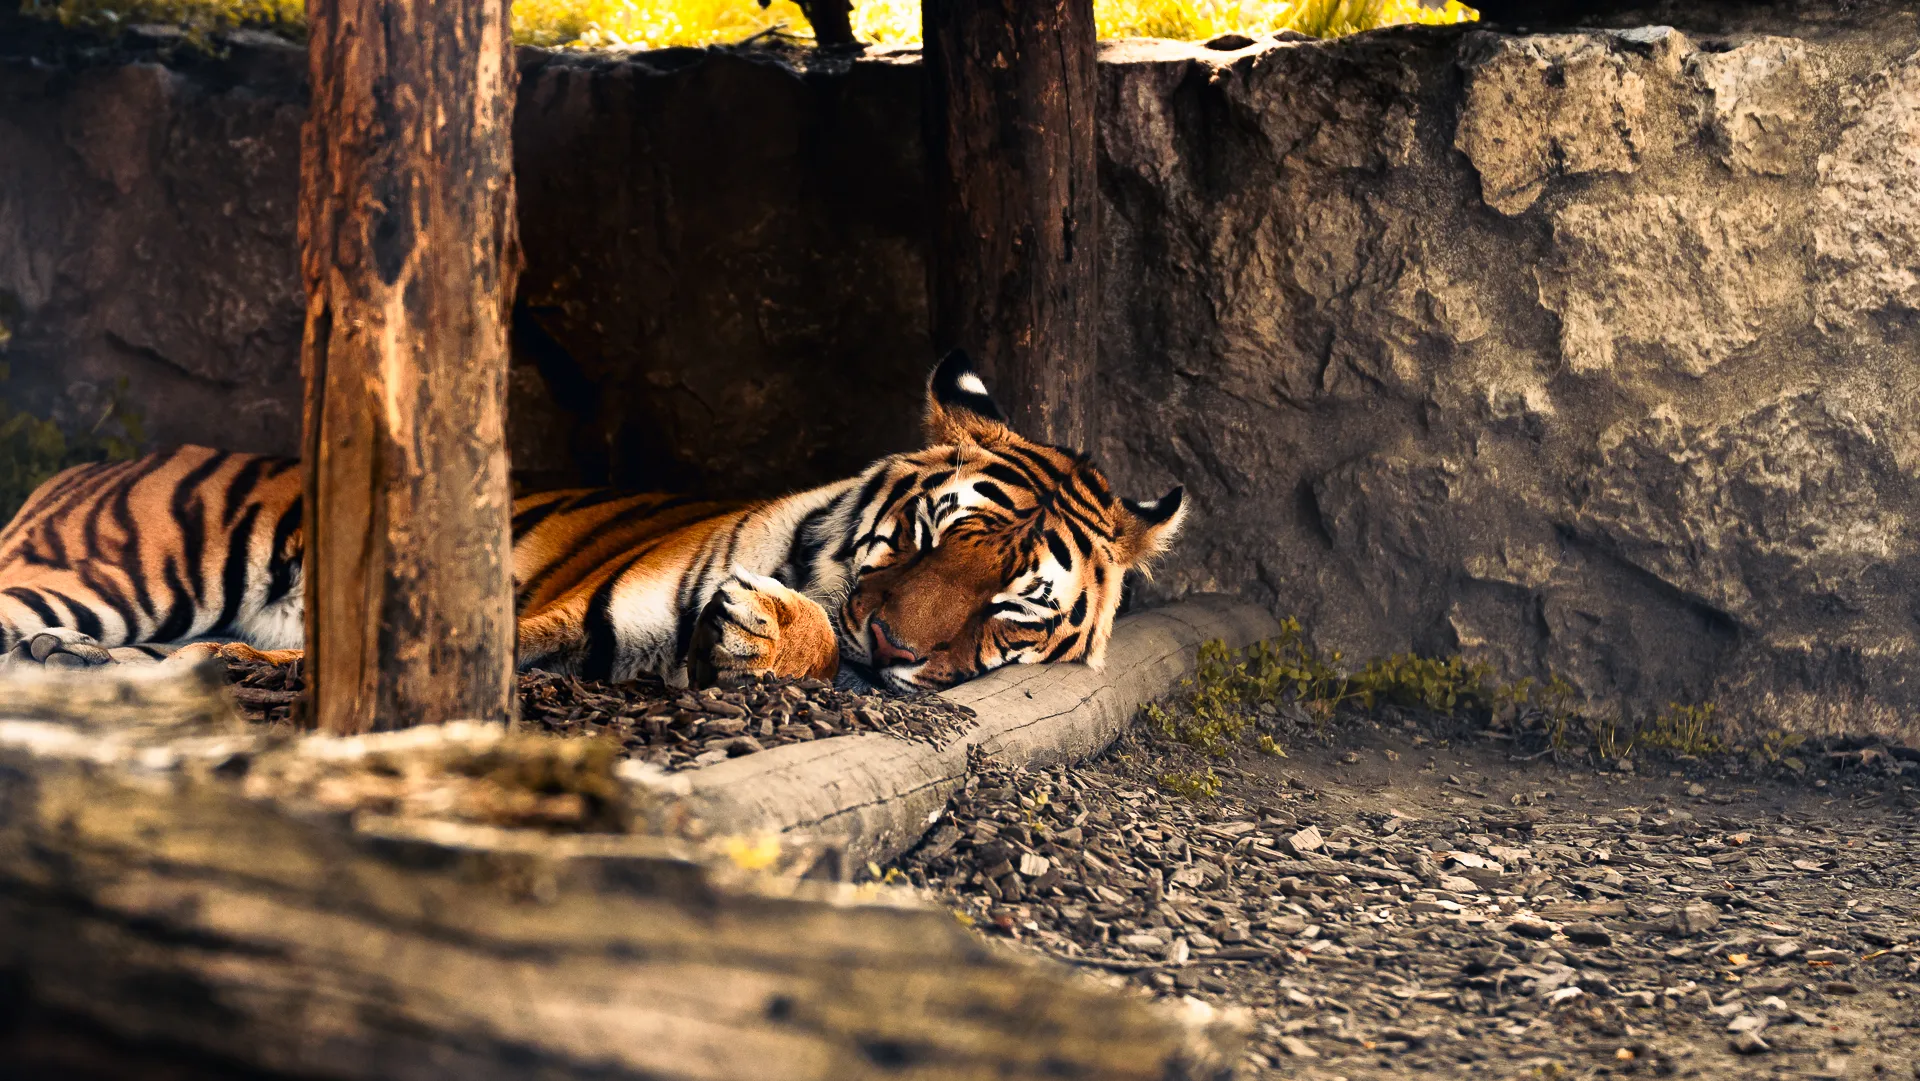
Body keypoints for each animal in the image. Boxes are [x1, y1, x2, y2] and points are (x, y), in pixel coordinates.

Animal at [0, 352, 1186, 693]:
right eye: (933, 534)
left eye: (1012, 606)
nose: (894, 643)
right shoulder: (582, 614)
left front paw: (763, 630)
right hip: (120, 570)